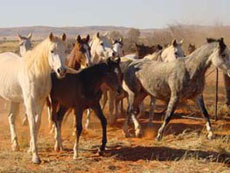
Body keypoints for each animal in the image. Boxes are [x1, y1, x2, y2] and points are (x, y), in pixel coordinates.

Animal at [0, 32, 77, 164]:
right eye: (52, 51)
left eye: (64, 50)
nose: (61, 71)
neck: (35, 72)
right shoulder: (29, 102)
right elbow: (31, 124)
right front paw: (35, 156)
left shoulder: (40, 102)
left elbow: (37, 124)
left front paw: (31, 149)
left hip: (14, 100)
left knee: (11, 118)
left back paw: (15, 145)